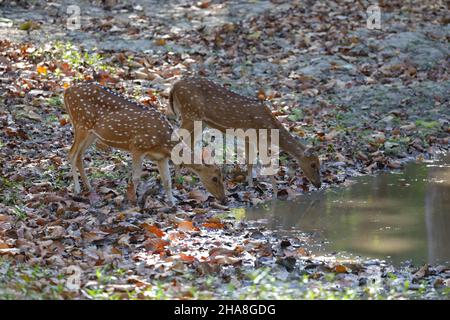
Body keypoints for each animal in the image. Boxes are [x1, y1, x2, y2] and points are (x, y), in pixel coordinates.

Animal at [63, 82, 225, 205]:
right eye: (215, 178)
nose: (224, 199)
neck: (163, 142)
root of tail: (67, 91)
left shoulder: (161, 158)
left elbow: (167, 181)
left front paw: (173, 202)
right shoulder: (137, 146)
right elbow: (135, 177)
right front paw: (132, 201)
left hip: (91, 133)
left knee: (79, 155)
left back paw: (89, 187)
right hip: (81, 124)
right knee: (71, 154)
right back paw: (77, 189)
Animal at [168, 77, 320, 192]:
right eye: (313, 164)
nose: (319, 184)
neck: (270, 128)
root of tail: (174, 87)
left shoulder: (249, 138)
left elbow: (249, 161)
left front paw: (251, 185)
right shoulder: (258, 137)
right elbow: (266, 163)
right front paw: (276, 192)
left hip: (200, 121)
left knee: (189, 143)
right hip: (190, 114)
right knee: (176, 139)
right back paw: (178, 180)